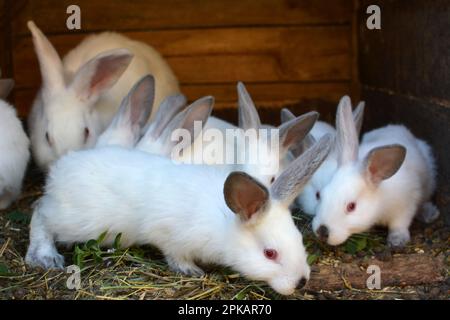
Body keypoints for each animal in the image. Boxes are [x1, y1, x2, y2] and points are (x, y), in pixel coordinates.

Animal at [25, 126, 334, 294]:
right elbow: (174, 255)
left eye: (299, 240)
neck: (224, 222)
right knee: (40, 214)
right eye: (270, 254)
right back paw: (45, 256)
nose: (301, 282)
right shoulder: (170, 236)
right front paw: (191, 271)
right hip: (73, 221)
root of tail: (59, 171)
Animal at [312, 100, 438, 248]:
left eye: (351, 206)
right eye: (321, 195)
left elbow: (399, 224)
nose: (322, 231)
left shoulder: (405, 205)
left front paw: (397, 240)